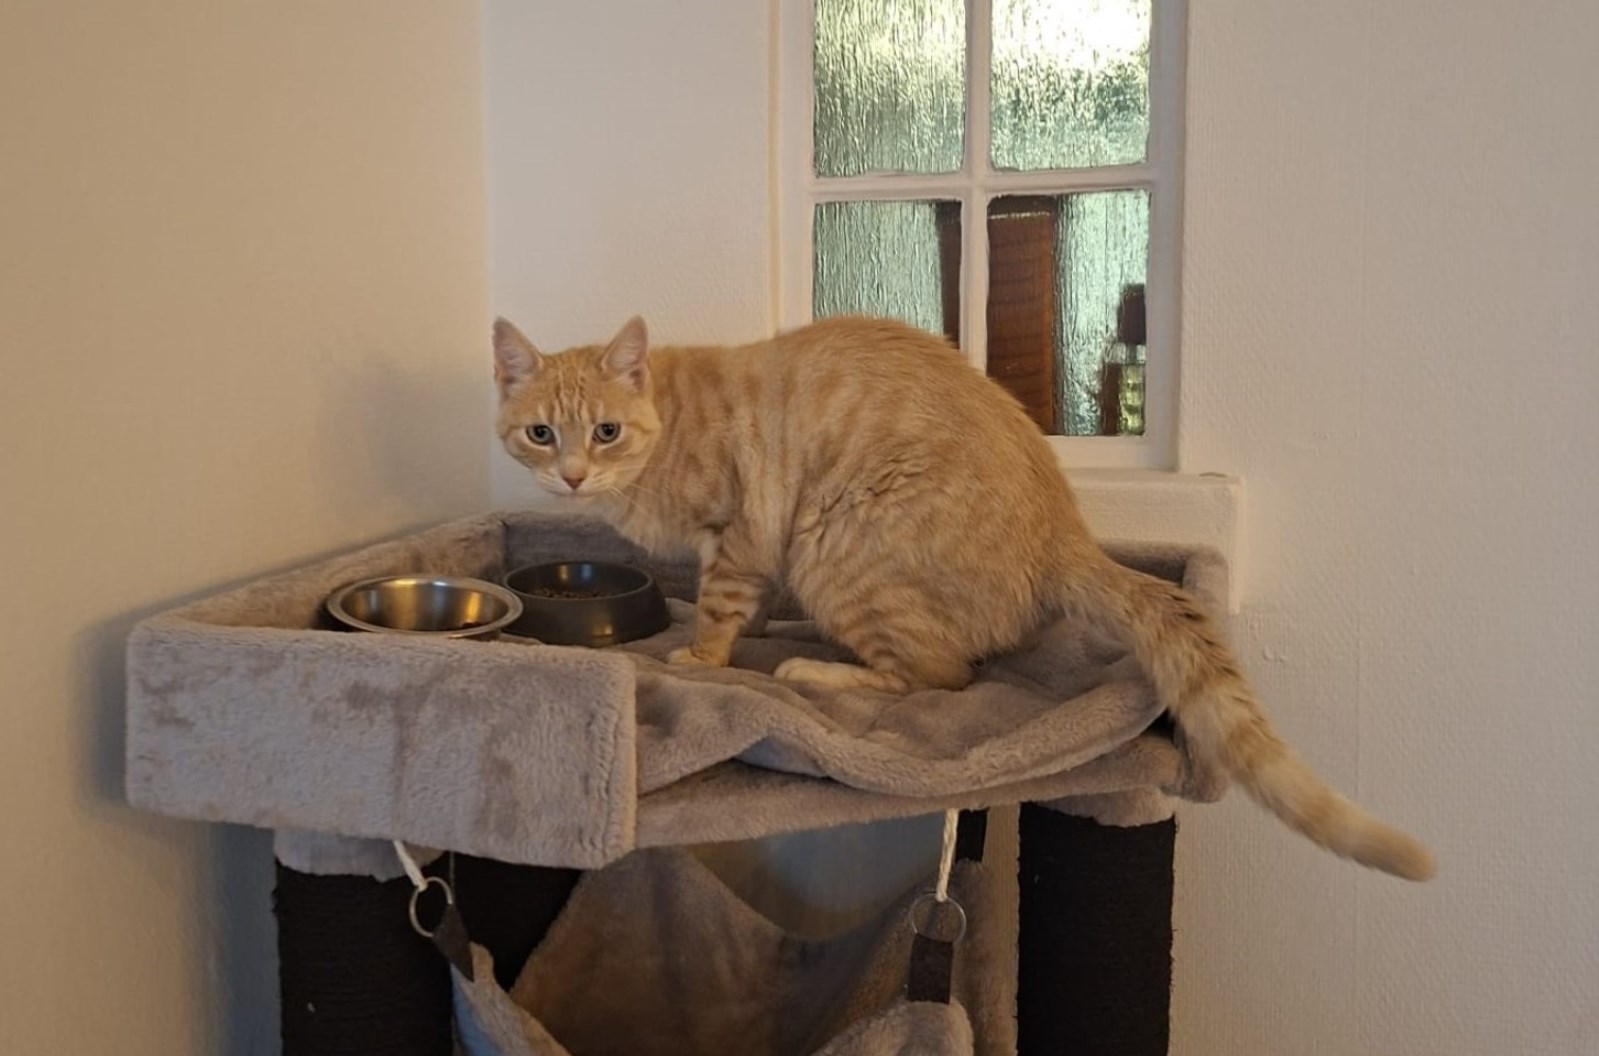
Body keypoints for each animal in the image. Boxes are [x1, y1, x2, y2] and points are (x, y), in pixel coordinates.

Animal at [492, 313, 1435, 881]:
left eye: (604, 432)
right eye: (540, 433)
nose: (571, 477)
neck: (663, 433)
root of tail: (1065, 532)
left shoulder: (741, 532)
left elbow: (724, 609)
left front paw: (700, 657)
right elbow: (746, 599)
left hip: (839, 539)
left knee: (938, 675)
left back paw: (815, 668)